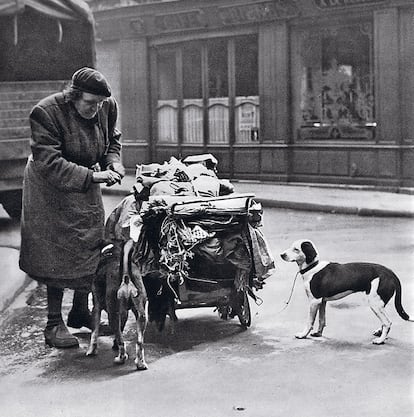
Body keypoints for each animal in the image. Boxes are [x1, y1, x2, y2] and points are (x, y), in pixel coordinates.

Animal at [280, 239, 412, 342]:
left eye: (296, 249)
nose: (281, 255)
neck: (312, 267)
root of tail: (391, 273)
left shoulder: (314, 301)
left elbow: (310, 321)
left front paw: (303, 335)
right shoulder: (322, 302)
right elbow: (322, 320)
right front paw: (318, 334)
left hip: (374, 303)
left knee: (388, 322)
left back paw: (380, 340)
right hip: (380, 304)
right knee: (385, 321)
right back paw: (380, 333)